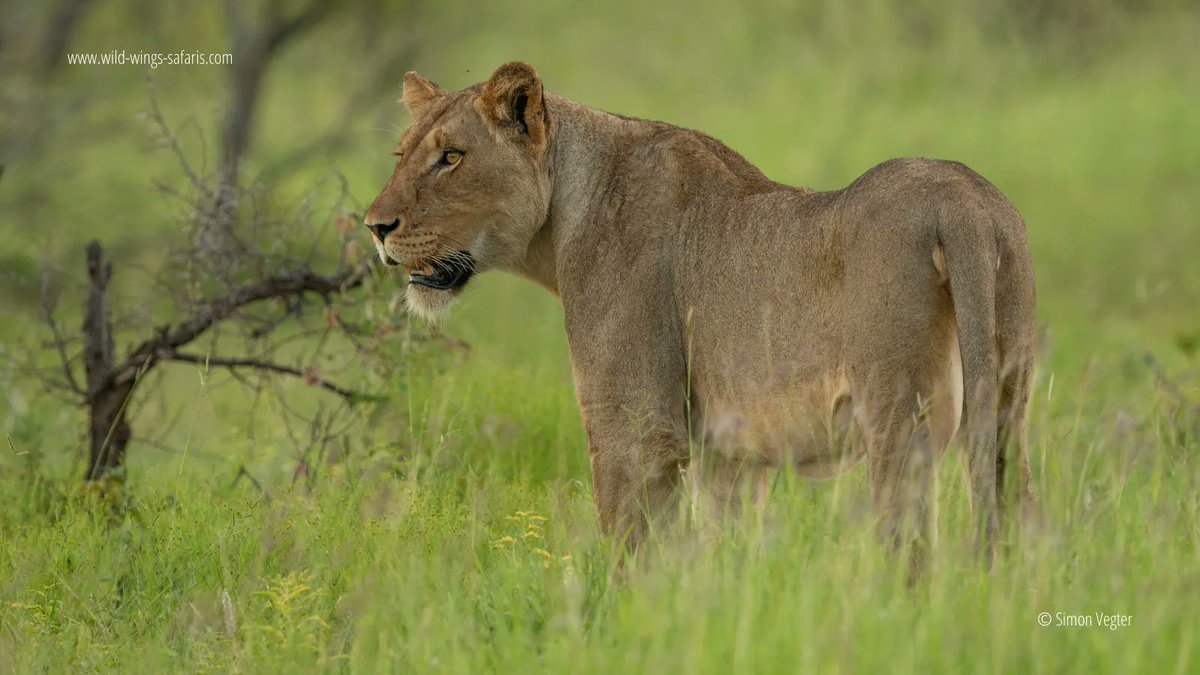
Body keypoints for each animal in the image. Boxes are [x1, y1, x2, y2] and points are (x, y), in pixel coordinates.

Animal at [364, 62, 1037, 575]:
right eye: (400, 154)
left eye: (451, 157)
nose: (374, 226)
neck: (563, 217)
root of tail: (964, 203)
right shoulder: (728, 453)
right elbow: (725, 547)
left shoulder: (635, 425)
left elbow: (630, 550)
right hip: (1010, 403)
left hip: (898, 421)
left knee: (910, 553)